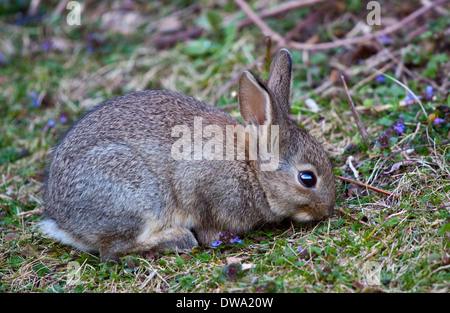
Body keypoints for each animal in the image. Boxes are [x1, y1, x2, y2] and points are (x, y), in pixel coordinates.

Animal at [39, 48, 334, 262]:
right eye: (307, 178)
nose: (327, 210)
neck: (252, 169)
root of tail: (63, 222)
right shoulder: (200, 188)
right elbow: (207, 226)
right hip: (135, 196)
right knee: (111, 250)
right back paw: (178, 238)